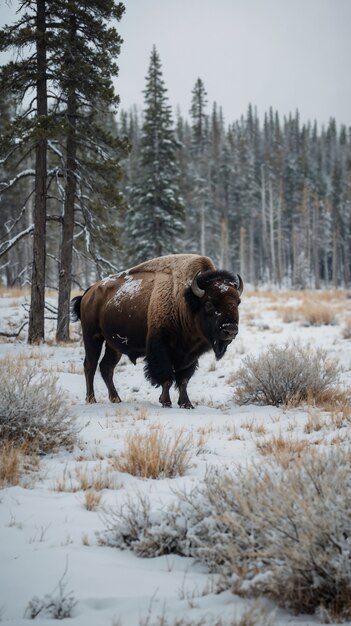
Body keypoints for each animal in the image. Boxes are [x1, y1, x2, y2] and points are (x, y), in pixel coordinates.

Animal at [70, 251, 243, 408]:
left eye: (237, 302)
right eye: (209, 303)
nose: (230, 329)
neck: (185, 301)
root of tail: (89, 291)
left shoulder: (190, 354)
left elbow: (183, 380)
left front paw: (186, 404)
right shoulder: (161, 347)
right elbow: (166, 377)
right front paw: (165, 401)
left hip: (113, 344)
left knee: (106, 367)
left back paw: (116, 399)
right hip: (92, 337)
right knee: (90, 365)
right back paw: (91, 399)